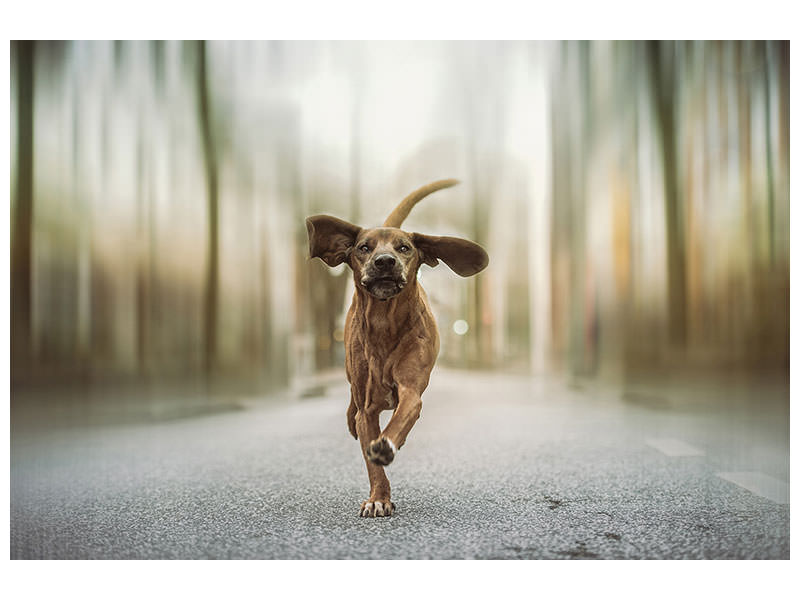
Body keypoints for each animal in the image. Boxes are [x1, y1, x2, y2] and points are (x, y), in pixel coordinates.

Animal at [304, 178, 488, 516]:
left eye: (404, 248)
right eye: (364, 247)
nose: (385, 261)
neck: (384, 325)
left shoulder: (411, 390)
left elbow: (401, 418)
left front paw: (387, 445)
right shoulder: (367, 408)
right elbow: (371, 458)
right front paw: (379, 497)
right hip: (352, 380)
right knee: (351, 406)